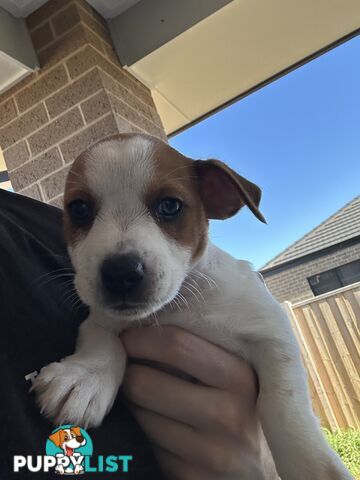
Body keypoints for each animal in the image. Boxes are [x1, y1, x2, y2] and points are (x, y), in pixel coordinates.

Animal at [33, 132, 352, 480]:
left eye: (170, 205)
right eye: (79, 209)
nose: (120, 273)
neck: (175, 308)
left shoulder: (271, 330)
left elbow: (284, 405)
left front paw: (311, 465)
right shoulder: (101, 320)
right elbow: (103, 339)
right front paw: (86, 377)